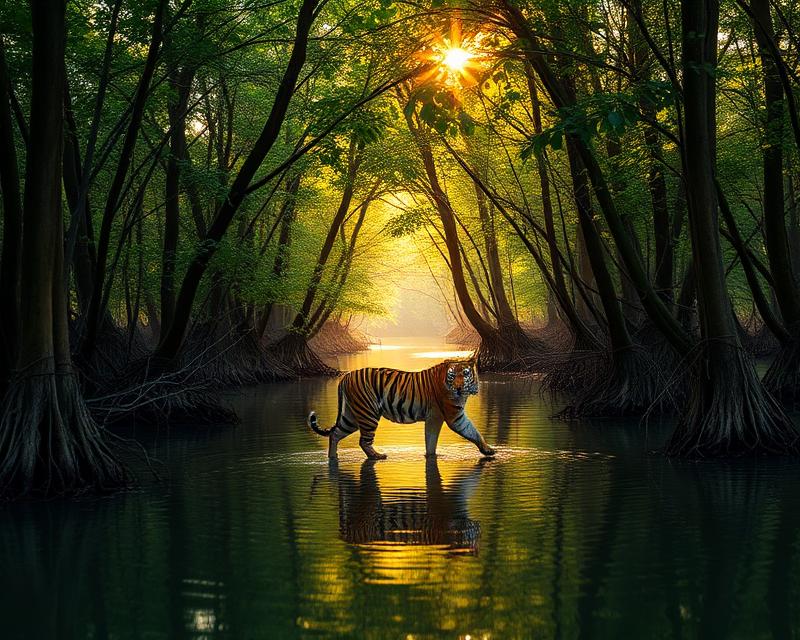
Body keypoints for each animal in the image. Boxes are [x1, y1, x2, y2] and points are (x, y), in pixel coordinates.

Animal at [307, 357, 496, 460]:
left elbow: (431, 441)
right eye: (452, 375)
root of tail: (345, 376)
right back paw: (378, 456)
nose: (458, 388)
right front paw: (488, 450)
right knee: (363, 441)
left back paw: (333, 457)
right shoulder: (454, 416)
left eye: (465, 374)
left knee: (335, 433)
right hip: (368, 414)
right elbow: (472, 430)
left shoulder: (434, 418)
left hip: (351, 417)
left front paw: (431, 456)